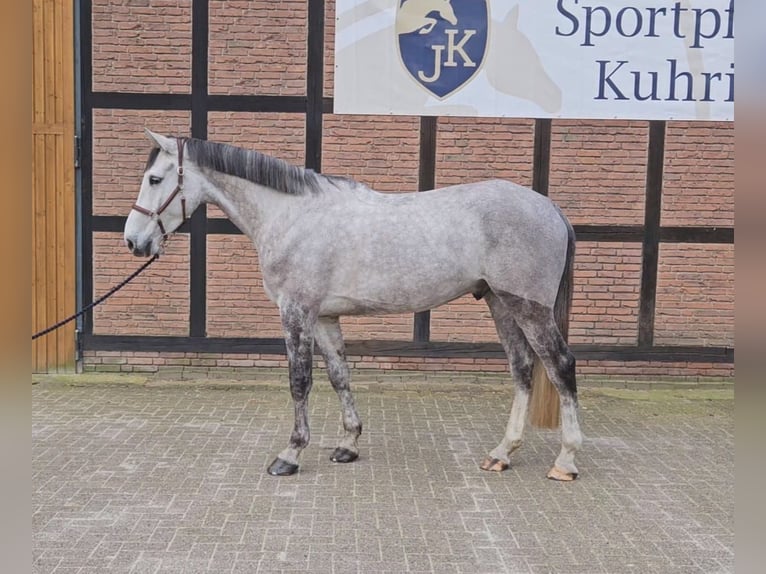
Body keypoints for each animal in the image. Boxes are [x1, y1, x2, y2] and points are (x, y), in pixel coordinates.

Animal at [124, 130, 584, 482]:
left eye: (154, 178)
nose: (134, 241)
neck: (292, 215)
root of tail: (549, 207)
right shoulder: (325, 317)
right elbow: (339, 376)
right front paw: (348, 445)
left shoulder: (297, 312)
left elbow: (300, 382)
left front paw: (290, 455)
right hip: (500, 303)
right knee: (522, 369)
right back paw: (502, 453)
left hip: (529, 308)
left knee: (560, 366)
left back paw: (566, 460)